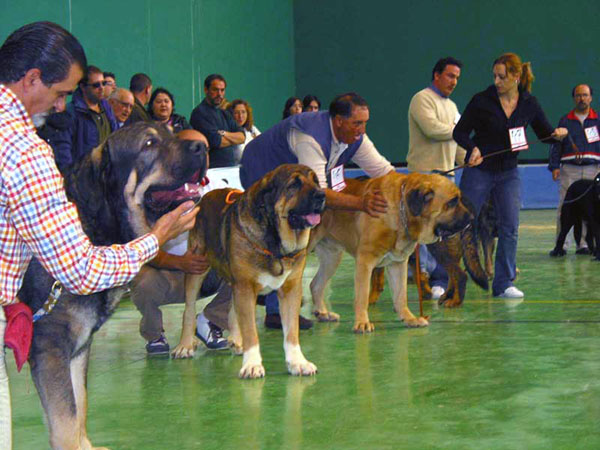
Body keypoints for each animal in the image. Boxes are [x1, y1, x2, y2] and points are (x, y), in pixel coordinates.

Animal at [17, 123, 209, 450]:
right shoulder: (51, 346)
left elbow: (79, 408)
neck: (93, 226)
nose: (202, 147)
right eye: (149, 144)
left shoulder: (79, 346)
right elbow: (65, 421)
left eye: (172, 132)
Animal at [171, 163, 326, 378]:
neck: (275, 241)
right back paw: (185, 345)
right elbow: (251, 331)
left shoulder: (290, 290)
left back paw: (237, 341)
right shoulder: (245, 287)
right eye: (294, 185)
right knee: (189, 309)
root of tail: (206, 196)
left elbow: (291, 332)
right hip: (197, 268)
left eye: (316, 181)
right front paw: (252, 364)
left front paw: (297, 362)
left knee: (232, 310)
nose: (322, 194)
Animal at [310, 171, 488, 332]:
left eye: (458, 200)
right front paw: (362, 322)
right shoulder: (365, 261)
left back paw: (324, 314)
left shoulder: (398, 263)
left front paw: (409, 318)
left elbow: (401, 295)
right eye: (452, 202)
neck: (402, 211)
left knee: (315, 284)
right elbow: (362, 295)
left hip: (332, 257)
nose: (471, 218)